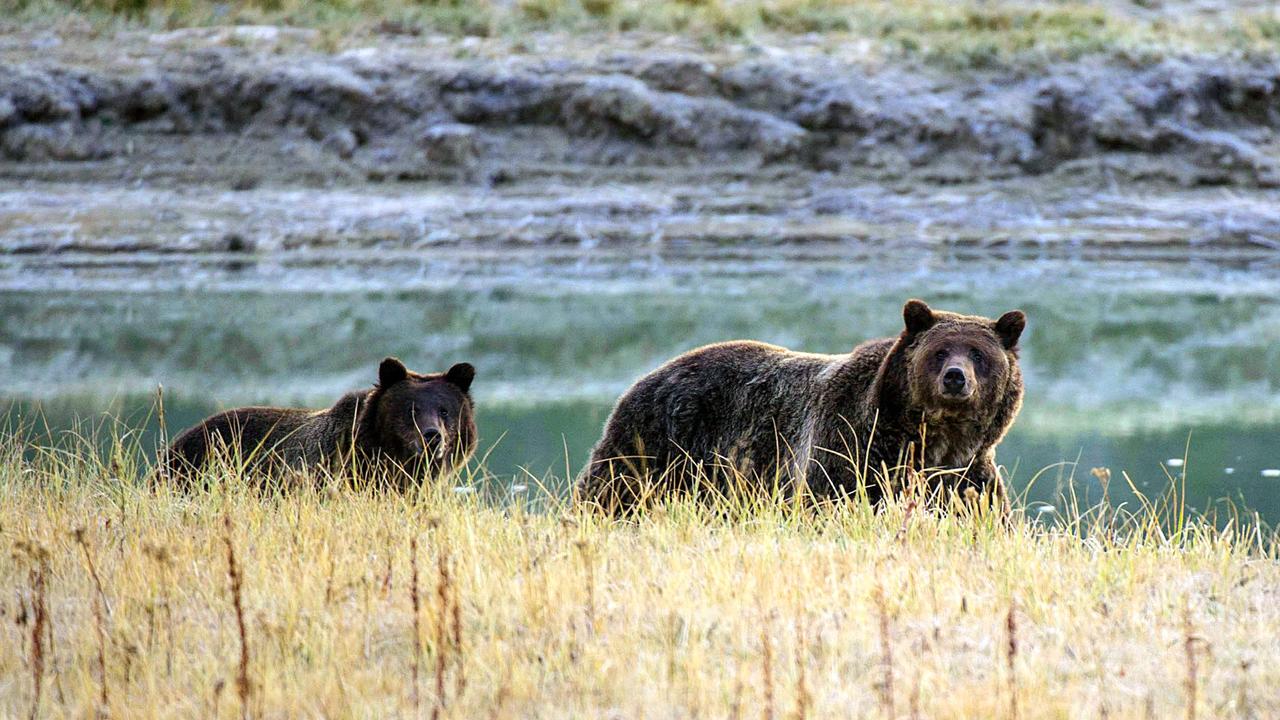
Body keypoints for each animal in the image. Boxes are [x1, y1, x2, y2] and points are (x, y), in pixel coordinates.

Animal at [581, 297, 1029, 509]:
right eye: (939, 351)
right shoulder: (849, 450)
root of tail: (645, 377)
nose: (955, 377)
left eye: (978, 354)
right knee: (611, 493)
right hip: (656, 446)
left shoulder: (967, 475)